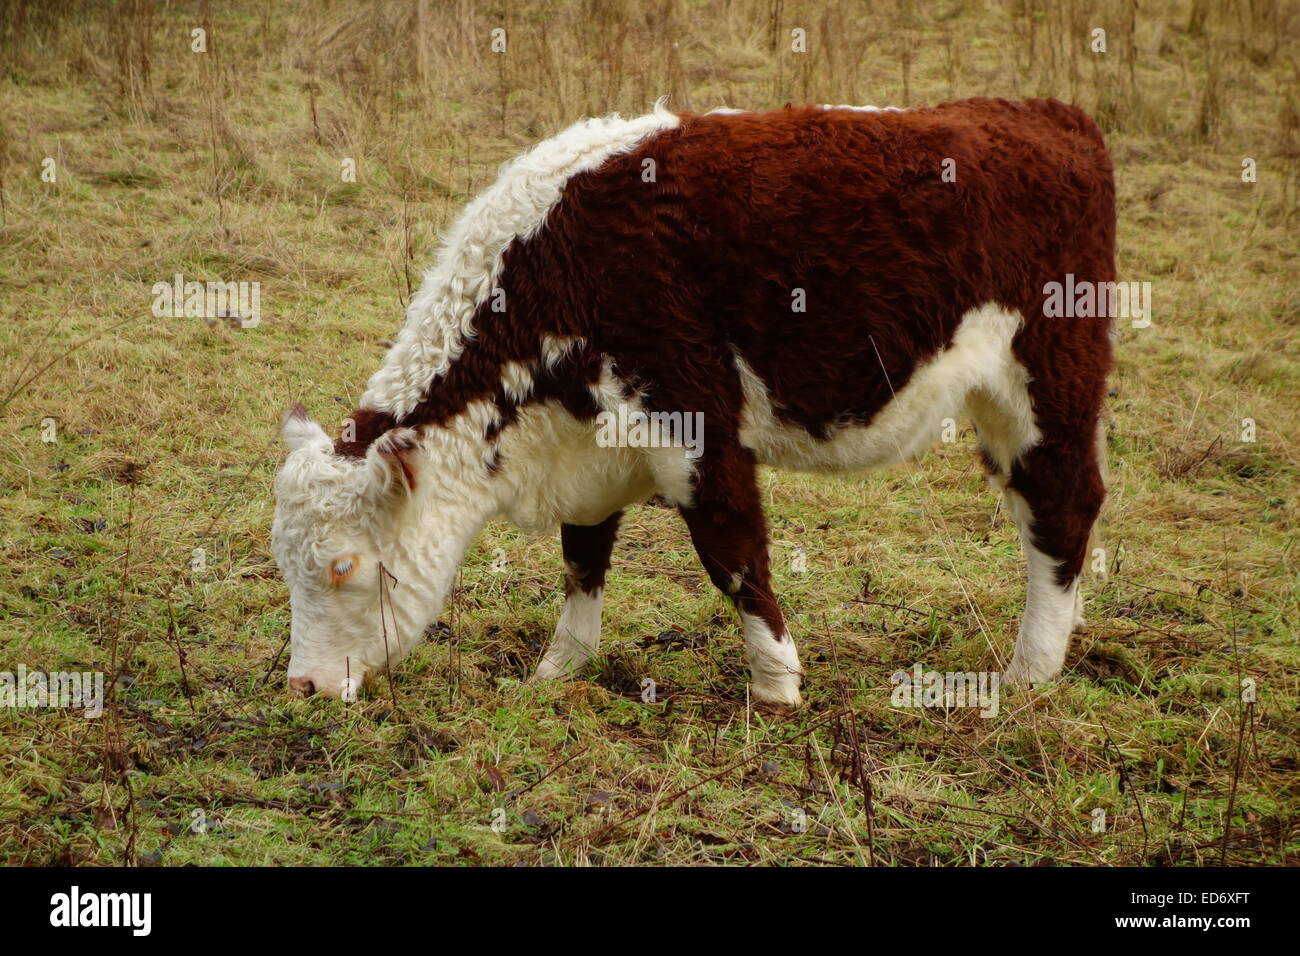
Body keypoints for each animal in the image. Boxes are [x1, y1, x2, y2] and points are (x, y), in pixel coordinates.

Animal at [269, 97, 1112, 712]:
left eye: (343, 565)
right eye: (284, 560)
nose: (302, 683)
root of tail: (1046, 114)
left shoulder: (696, 423)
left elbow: (733, 555)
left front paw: (775, 688)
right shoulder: (594, 445)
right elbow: (583, 556)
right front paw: (558, 669)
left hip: (1047, 379)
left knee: (1063, 503)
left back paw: (1031, 668)